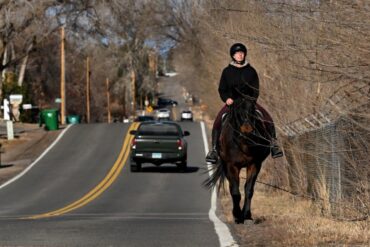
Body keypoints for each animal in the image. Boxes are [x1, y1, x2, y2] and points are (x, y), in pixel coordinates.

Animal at [205, 96, 272, 224]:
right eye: (238, 110)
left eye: (252, 110)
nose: (247, 129)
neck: (243, 142)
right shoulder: (231, 166)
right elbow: (235, 191)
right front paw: (237, 215)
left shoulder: (254, 164)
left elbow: (249, 189)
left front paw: (247, 215)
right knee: (232, 187)